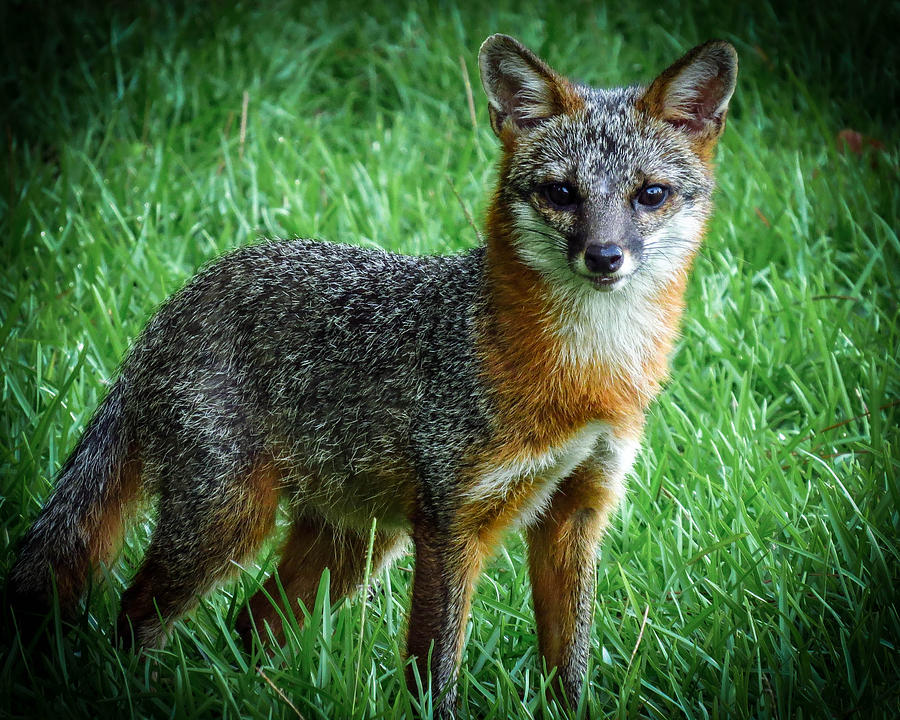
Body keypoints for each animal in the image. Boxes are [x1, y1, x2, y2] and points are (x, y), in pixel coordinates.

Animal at [8, 35, 740, 720]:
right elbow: (435, 670)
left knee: (248, 624)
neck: (586, 374)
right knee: (135, 617)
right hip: (227, 524)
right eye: (561, 194)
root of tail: (172, 307)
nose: (604, 256)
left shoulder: (577, 511)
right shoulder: (453, 525)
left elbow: (570, 667)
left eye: (650, 195)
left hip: (354, 544)